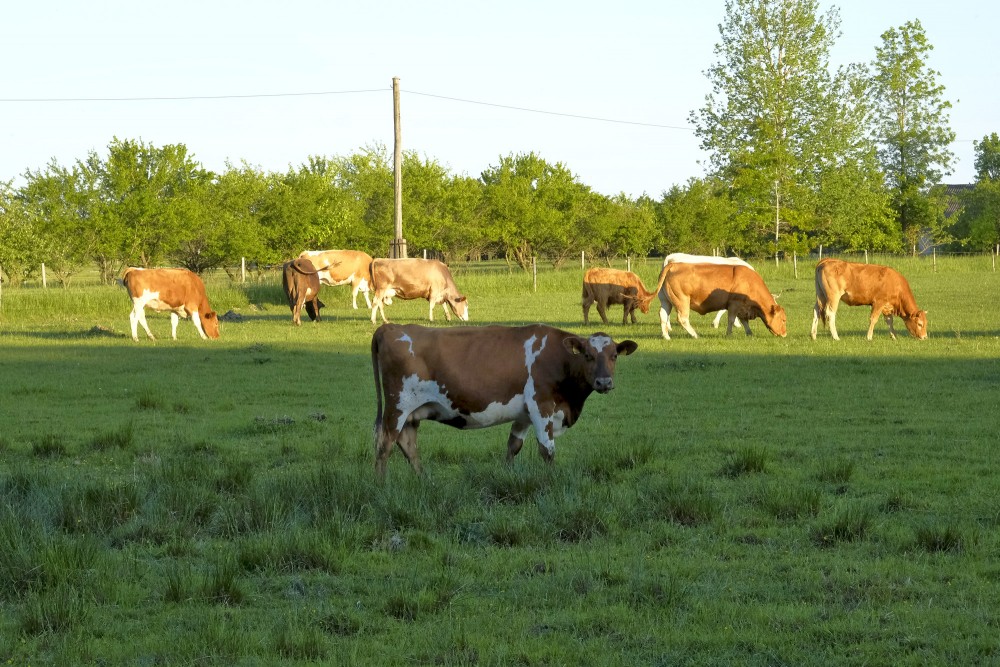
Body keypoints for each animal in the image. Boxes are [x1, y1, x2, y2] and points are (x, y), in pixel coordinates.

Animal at [371, 323, 638, 477]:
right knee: (385, 445)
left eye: (614, 355)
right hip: (397, 406)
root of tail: (390, 327)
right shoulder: (541, 405)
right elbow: (547, 449)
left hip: (412, 413)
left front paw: (508, 475)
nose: (604, 382)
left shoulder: (524, 413)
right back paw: (381, 485)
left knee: (407, 444)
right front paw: (552, 481)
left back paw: (423, 480)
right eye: (587, 355)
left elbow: (513, 446)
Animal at [652, 262, 787, 340]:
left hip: (666, 301)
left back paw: (666, 336)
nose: (785, 334)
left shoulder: (743, 308)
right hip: (682, 300)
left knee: (663, 315)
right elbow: (731, 320)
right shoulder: (734, 304)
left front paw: (750, 334)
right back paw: (695, 335)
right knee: (683, 319)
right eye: (784, 320)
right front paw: (729, 334)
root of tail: (674, 264)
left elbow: (744, 322)